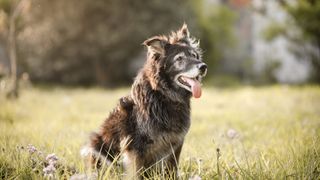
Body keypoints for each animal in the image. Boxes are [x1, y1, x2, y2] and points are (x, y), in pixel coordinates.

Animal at [80, 24, 208, 179]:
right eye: (180, 59)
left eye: (194, 56)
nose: (203, 67)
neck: (164, 96)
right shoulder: (135, 147)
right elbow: (136, 173)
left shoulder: (176, 144)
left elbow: (171, 169)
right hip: (95, 147)